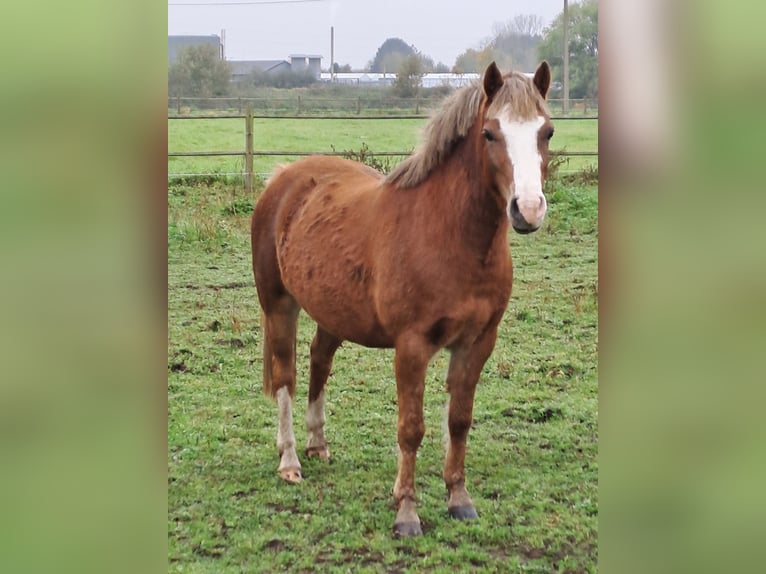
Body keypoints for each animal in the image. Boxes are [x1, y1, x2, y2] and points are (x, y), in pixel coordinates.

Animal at [255, 60, 556, 536]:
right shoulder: (412, 346)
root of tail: (282, 178)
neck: (449, 234)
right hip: (278, 305)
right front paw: (407, 512)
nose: (527, 209)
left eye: (547, 132)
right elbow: (411, 428)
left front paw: (459, 498)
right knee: (286, 375)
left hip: (333, 313)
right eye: (490, 133)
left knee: (320, 360)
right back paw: (290, 460)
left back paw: (318, 443)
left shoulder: (477, 342)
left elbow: (458, 421)